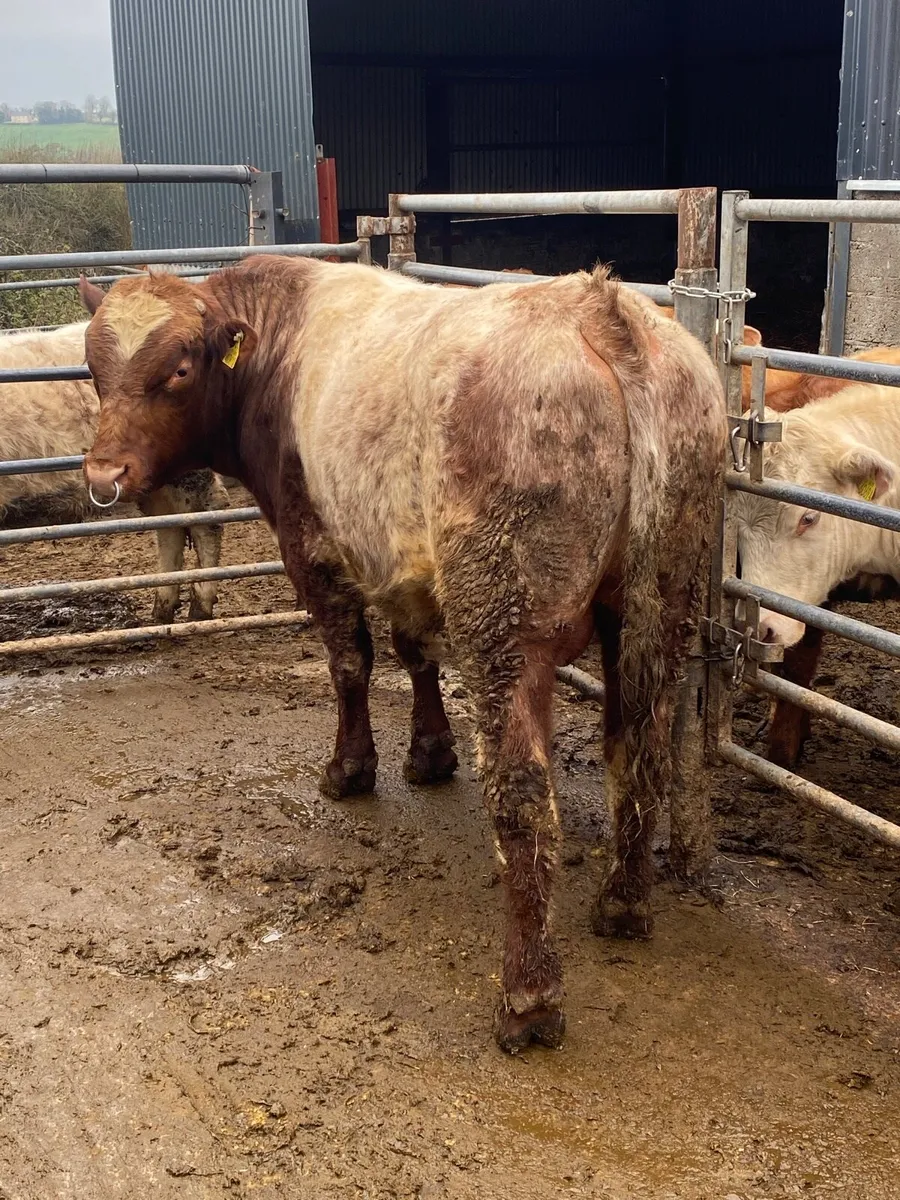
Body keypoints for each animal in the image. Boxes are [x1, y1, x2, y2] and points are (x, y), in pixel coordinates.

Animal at [77, 256, 724, 1052]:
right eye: (93, 366)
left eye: (179, 368)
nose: (104, 475)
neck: (279, 348)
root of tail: (602, 309)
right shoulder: (404, 563)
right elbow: (415, 654)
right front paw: (430, 752)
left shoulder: (316, 547)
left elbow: (351, 661)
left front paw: (351, 769)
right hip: (661, 602)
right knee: (641, 748)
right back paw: (625, 904)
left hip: (507, 617)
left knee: (523, 794)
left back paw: (528, 997)